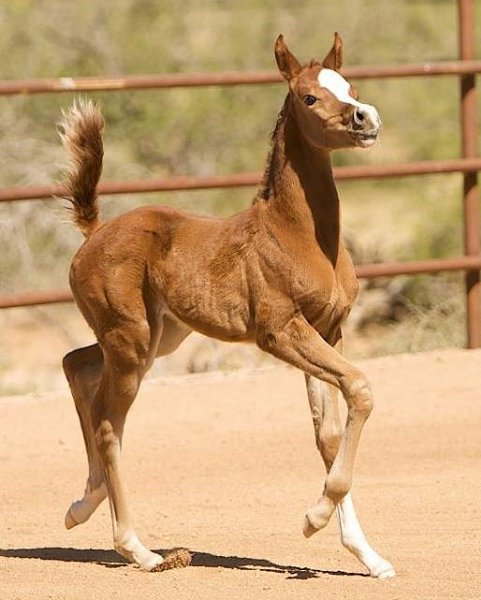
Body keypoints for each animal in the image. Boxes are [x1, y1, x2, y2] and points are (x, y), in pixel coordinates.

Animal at [60, 33, 394, 578]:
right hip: (130, 342)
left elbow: (327, 433)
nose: (366, 118)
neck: (296, 233)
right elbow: (361, 389)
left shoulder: (329, 330)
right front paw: (312, 518)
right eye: (309, 97)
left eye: (352, 88)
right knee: (109, 422)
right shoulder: (281, 331)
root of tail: (94, 232)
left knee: (76, 365)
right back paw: (140, 550)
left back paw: (81, 505)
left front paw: (367, 554)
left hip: (154, 337)